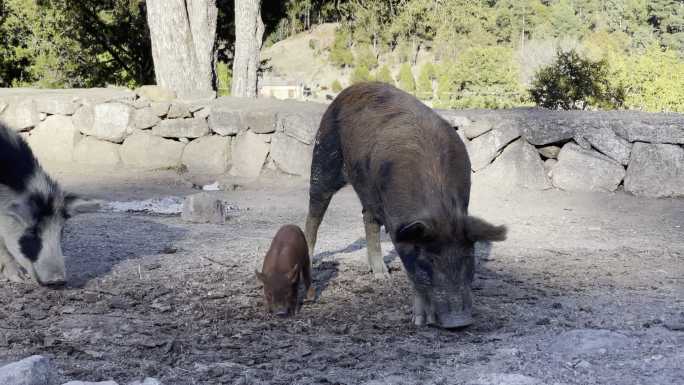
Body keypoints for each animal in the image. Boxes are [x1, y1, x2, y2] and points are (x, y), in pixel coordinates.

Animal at [304, 82, 508, 328]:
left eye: (468, 258)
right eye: (428, 260)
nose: (458, 322)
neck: (440, 211)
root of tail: (351, 88)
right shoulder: (398, 225)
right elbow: (412, 272)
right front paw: (420, 321)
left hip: (368, 189)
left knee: (368, 218)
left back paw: (381, 276)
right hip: (323, 154)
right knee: (314, 212)